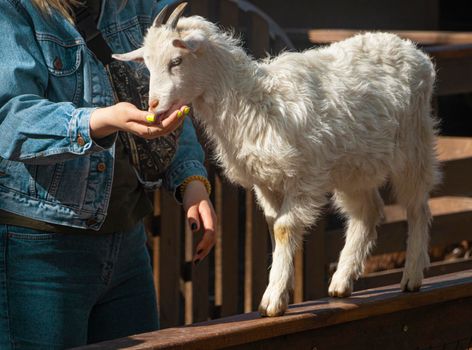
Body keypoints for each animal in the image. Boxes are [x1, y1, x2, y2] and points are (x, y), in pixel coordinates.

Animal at [113, 3, 438, 318]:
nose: (153, 105)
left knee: (417, 207)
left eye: (177, 61)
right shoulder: (266, 181)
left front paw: (272, 300)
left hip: (414, 146)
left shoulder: (302, 177)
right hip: (354, 166)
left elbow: (283, 228)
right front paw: (281, 288)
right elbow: (272, 226)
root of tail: (412, 50)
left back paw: (411, 275)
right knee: (367, 213)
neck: (255, 100)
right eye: (147, 64)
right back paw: (342, 281)